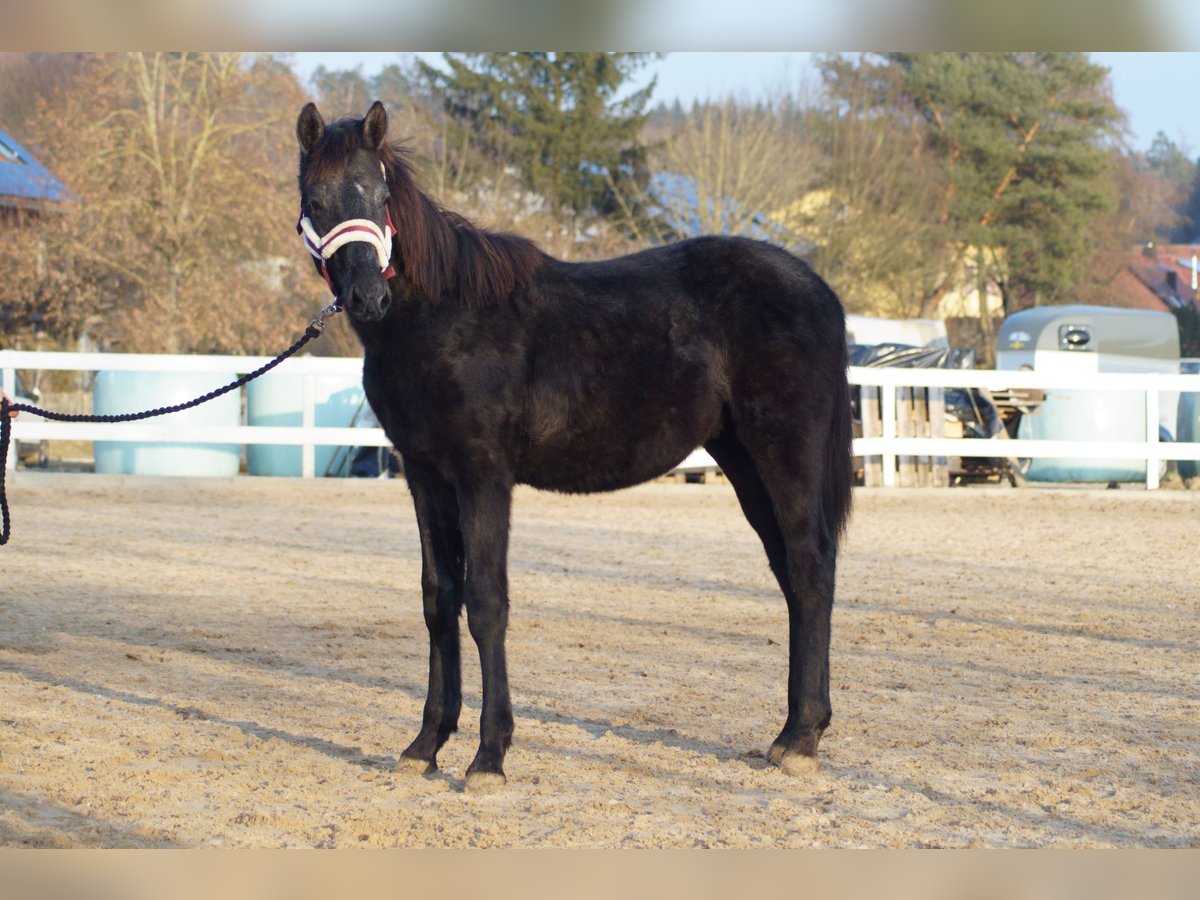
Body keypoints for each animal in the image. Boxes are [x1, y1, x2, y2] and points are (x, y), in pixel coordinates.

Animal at [298, 100, 854, 787]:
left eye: (380, 196)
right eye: (316, 198)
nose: (368, 297)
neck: (443, 314)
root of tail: (819, 291)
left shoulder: (483, 473)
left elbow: (486, 602)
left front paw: (489, 757)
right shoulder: (424, 473)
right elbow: (438, 599)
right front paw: (425, 745)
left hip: (785, 455)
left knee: (811, 567)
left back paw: (801, 739)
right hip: (745, 463)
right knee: (791, 575)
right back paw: (791, 732)